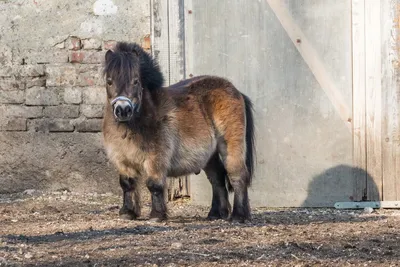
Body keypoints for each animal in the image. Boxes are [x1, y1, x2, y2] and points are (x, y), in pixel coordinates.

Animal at [101, 42, 255, 223]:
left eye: (136, 81)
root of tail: (236, 91)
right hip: (209, 156)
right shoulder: (123, 160)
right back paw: (216, 213)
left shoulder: (156, 159)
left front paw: (157, 215)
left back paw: (238, 216)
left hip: (231, 146)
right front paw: (128, 212)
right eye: (109, 81)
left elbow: (154, 185)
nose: (123, 110)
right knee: (217, 179)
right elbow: (127, 184)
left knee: (237, 176)